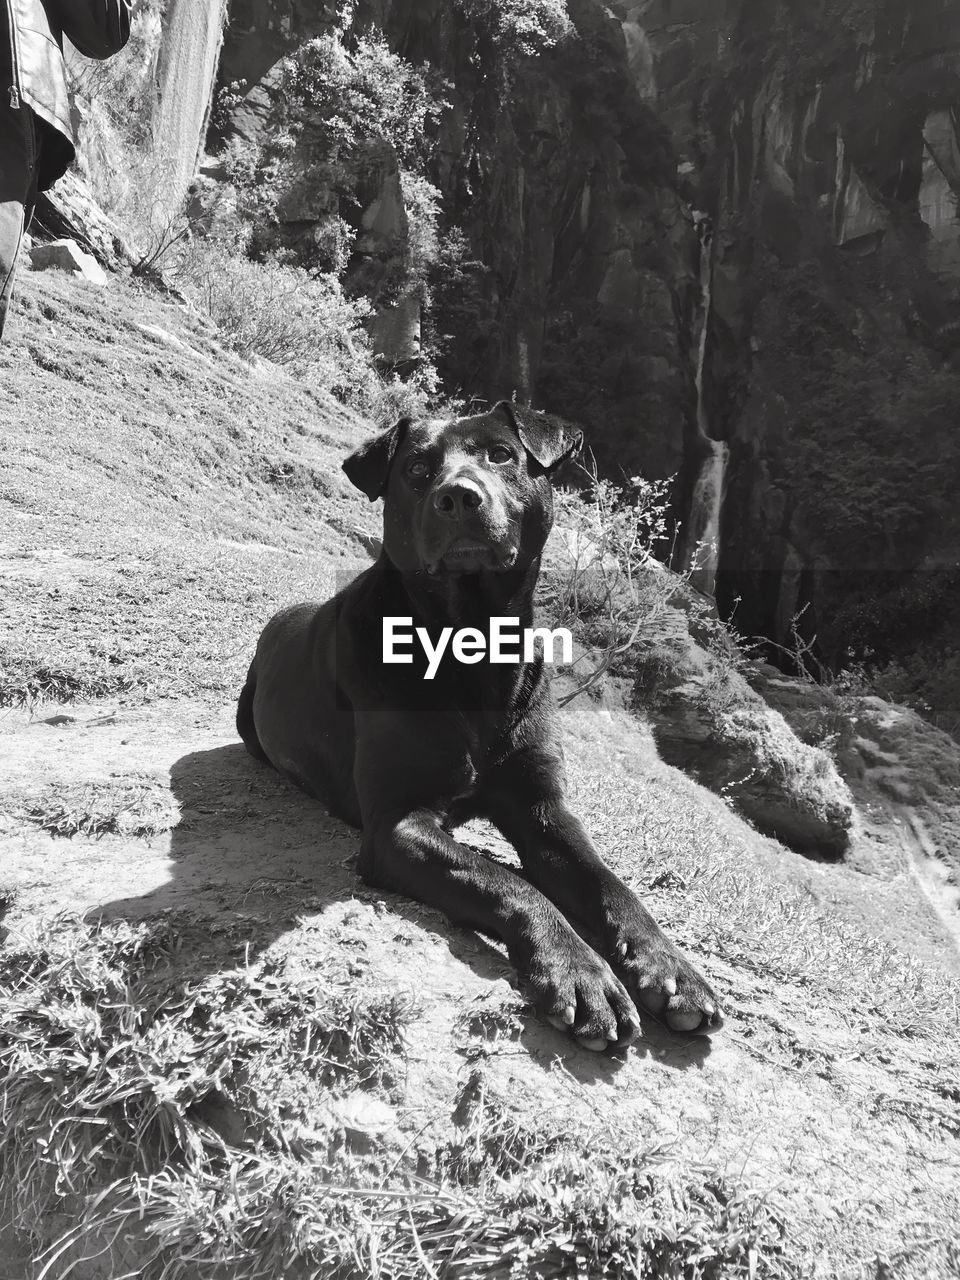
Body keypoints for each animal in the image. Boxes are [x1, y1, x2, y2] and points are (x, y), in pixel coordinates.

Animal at [239, 401, 721, 1049]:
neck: (469, 646)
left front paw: (671, 967)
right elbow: (504, 881)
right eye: (417, 469)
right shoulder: (397, 826)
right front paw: (579, 971)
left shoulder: (543, 809)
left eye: (501, 455)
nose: (459, 497)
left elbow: (609, 884)